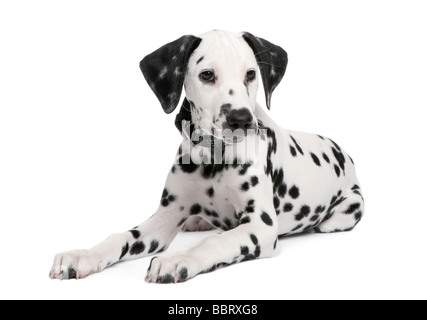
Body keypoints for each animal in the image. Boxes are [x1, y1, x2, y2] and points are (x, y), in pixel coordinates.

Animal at [49, 30, 364, 282]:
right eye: (207, 75)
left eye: (251, 74)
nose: (241, 119)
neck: (215, 158)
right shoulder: (164, 218)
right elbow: (123, 236)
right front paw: (83, 255)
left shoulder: (260, 227)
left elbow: (214, 243)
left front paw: (179, 259)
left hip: (351, 207)